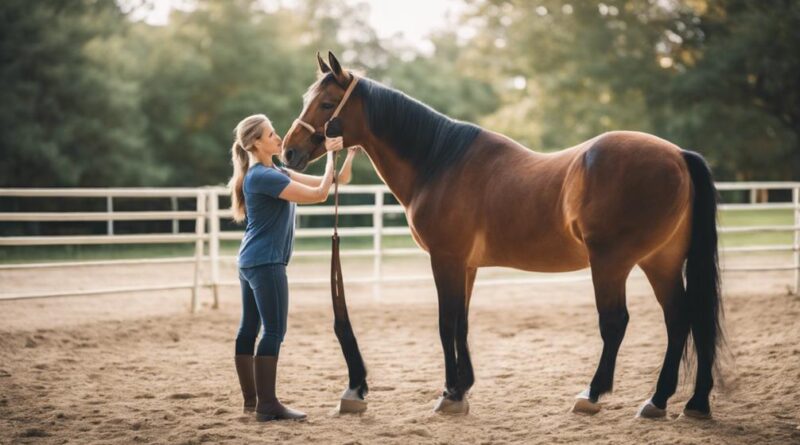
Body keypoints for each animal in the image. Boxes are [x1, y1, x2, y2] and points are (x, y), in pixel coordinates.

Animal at [282, 53, 724, 420]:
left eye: (326, 104)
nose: (288, 152)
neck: (438, 161)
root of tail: (679, 155)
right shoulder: (467, 266)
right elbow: (461, 322)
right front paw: (462, 389)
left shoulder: (445, 259)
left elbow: (445, 322)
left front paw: (448, 393)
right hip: (661, 262)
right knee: (683, 319)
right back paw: (677, 402)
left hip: (612, 263)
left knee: (617, 322)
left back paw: (594, 394)